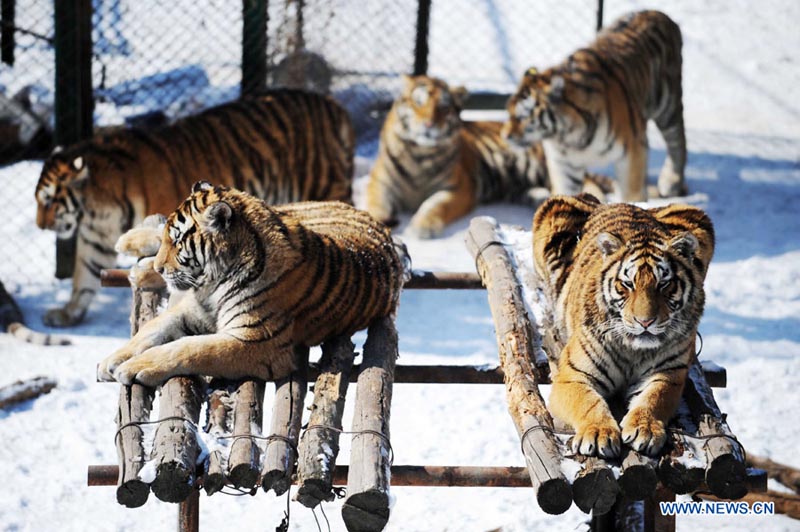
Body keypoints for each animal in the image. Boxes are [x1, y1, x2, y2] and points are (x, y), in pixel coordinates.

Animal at [34, 89, 354, 326]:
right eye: (39, 200)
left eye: (48, 200)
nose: (40, 225)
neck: (95, 212)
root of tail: (334, 106)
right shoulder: (94, 241)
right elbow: (84, 277)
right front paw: (67, 312)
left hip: (321, 187)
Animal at [96, 183, 404, 386]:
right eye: (169, 240)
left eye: (178, 241)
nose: (161, 266)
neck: (213, 283)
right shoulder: (192, 311)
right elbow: (150, 331)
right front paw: (111, 360)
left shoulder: (256, 342)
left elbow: (191, 349)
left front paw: (135, 367)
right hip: (290, 211)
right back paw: (131, 245)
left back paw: (140, 268)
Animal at [366, 74, 552, 238]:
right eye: (418, 102)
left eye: (443, 107)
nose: (429, 124)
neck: (419, 154)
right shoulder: (380, 183)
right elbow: (376, 204)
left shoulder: (459, 188)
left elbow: (435, 205)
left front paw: (423, 227)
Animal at [536, 195, 716, 458]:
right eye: (628, 284)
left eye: (664, 284)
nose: (645, 322)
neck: (633, 349)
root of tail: (611, 202)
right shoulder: (571, 377)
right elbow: (588, 402)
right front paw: (598, 433)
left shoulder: (668, 373)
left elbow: (654, 398)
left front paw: (645, 429)